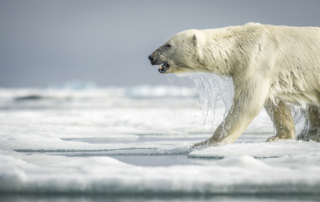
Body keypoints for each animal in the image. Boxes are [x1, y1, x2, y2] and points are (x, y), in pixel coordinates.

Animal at [149, 23, 320, 147]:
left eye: (168, 45)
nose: (151, 57)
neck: (238, 45)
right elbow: (274, 103)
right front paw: (280, 137)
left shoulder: (258, 61)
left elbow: (247, 103)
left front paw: (204, 143)